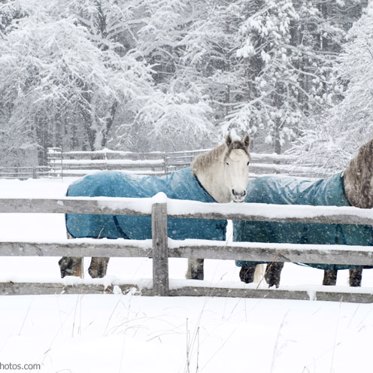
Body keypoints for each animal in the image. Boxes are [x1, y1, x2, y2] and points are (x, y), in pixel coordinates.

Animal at [58, 133, 250, 276]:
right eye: (227, 162)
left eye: (248, 162)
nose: (239, 193)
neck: (202, 188)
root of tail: (72, 186)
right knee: (69, 267)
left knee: (94, 270)